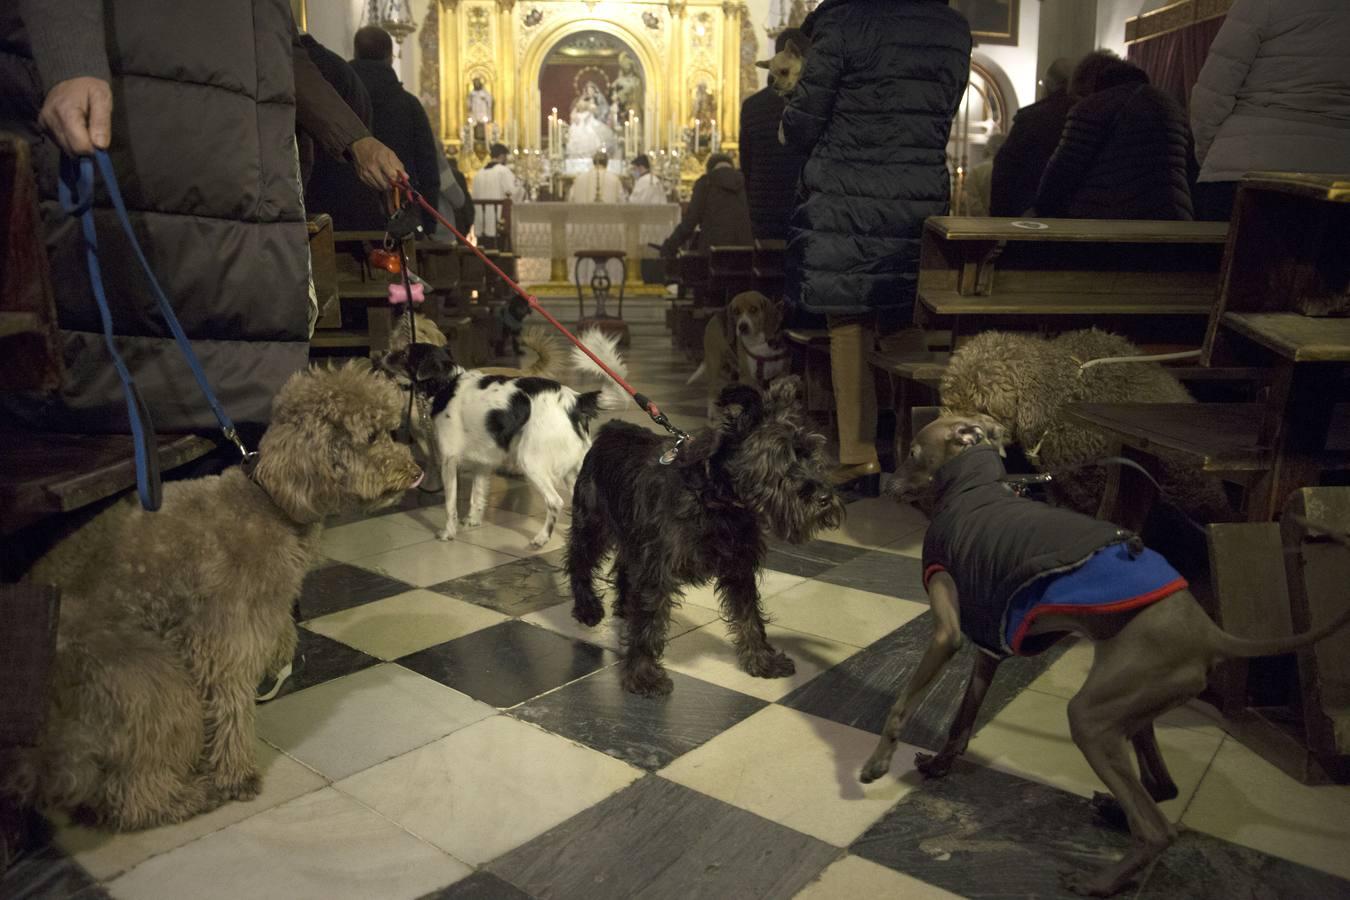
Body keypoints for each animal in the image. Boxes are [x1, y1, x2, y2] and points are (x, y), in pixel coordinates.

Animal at [1, 364, 421, 831]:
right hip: (147, 676)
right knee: (134, 797)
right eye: (373, 436)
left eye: (392, 430)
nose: (416, 470)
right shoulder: (224, 641)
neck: (272, 502)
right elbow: (231, 709)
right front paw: (237, 775)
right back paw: (190, 797)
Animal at [567, 377, 842, 696]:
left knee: (624, 565)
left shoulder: (739, 567)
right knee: (578, 561)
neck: (715, 498)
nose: (825, 497)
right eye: (780, 457)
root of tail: (612, 428)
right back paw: (587, 607)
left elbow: (750, 616)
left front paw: (762, 660)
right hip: (592, 525)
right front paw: (643, 675)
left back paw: (624, 605)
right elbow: (649, 621)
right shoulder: (657, 570)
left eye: (812, 454)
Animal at [685, 294, 788, 423]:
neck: (759, 343)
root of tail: (718, 313)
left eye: (754, 309)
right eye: (736, 311)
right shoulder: (748, 377)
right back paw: (713, 413)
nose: (742, 326)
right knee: (712, 390)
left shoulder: (780, 375)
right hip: (715, 363)